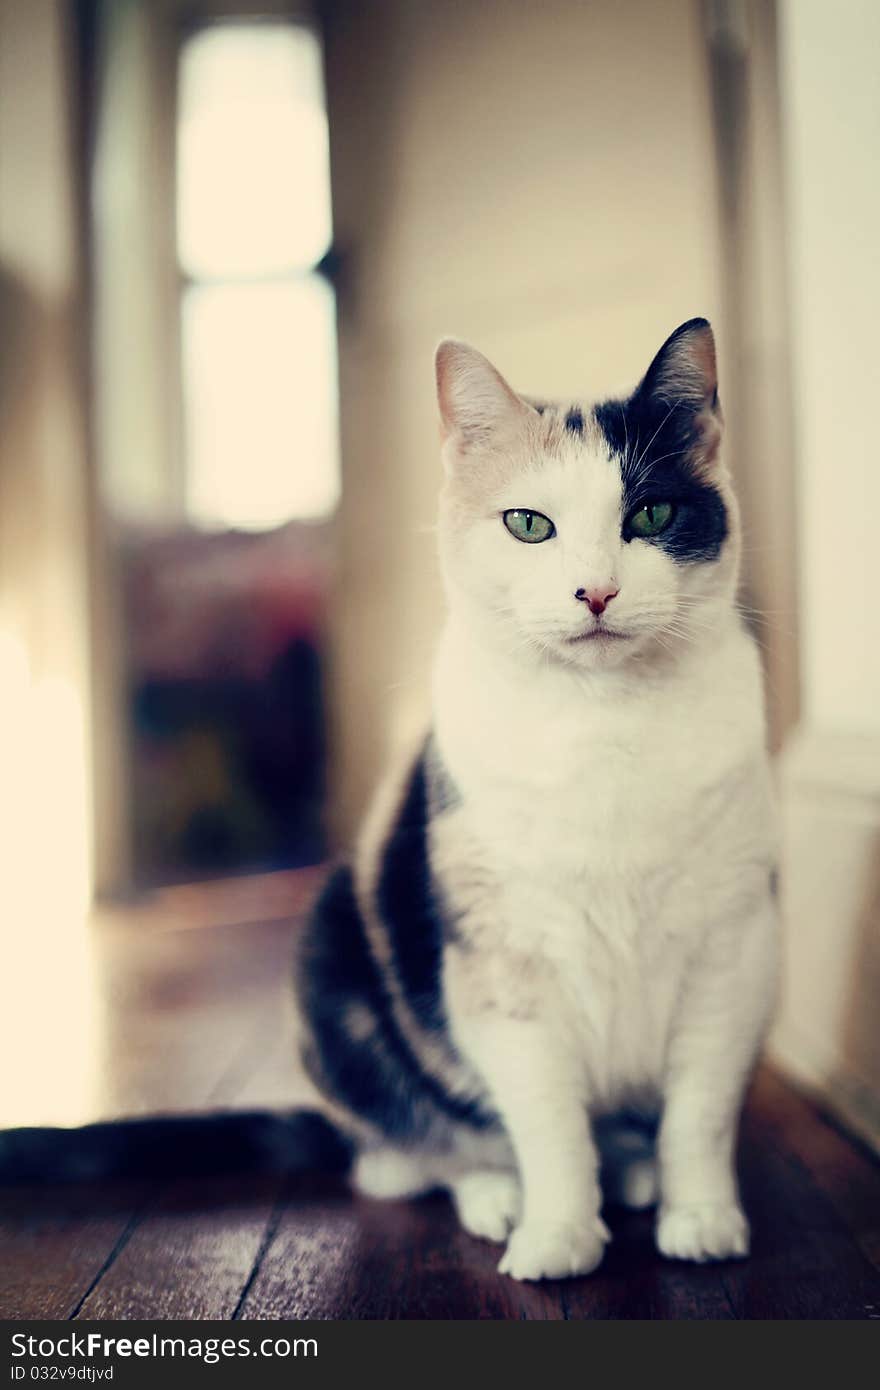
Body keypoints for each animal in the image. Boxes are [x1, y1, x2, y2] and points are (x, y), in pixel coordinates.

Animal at [294, 318, 772, 1278]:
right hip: (337, 965)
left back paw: (633, 1174)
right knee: (410, 1157)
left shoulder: (731, 953)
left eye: (651, 515)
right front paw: (556, 1236)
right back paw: (498, 1197)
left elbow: (700, 1113)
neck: (604, 726)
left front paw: (701, 1218)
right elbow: (548, 1126)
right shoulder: (504, 972)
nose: (596, 590)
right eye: (529, 526)